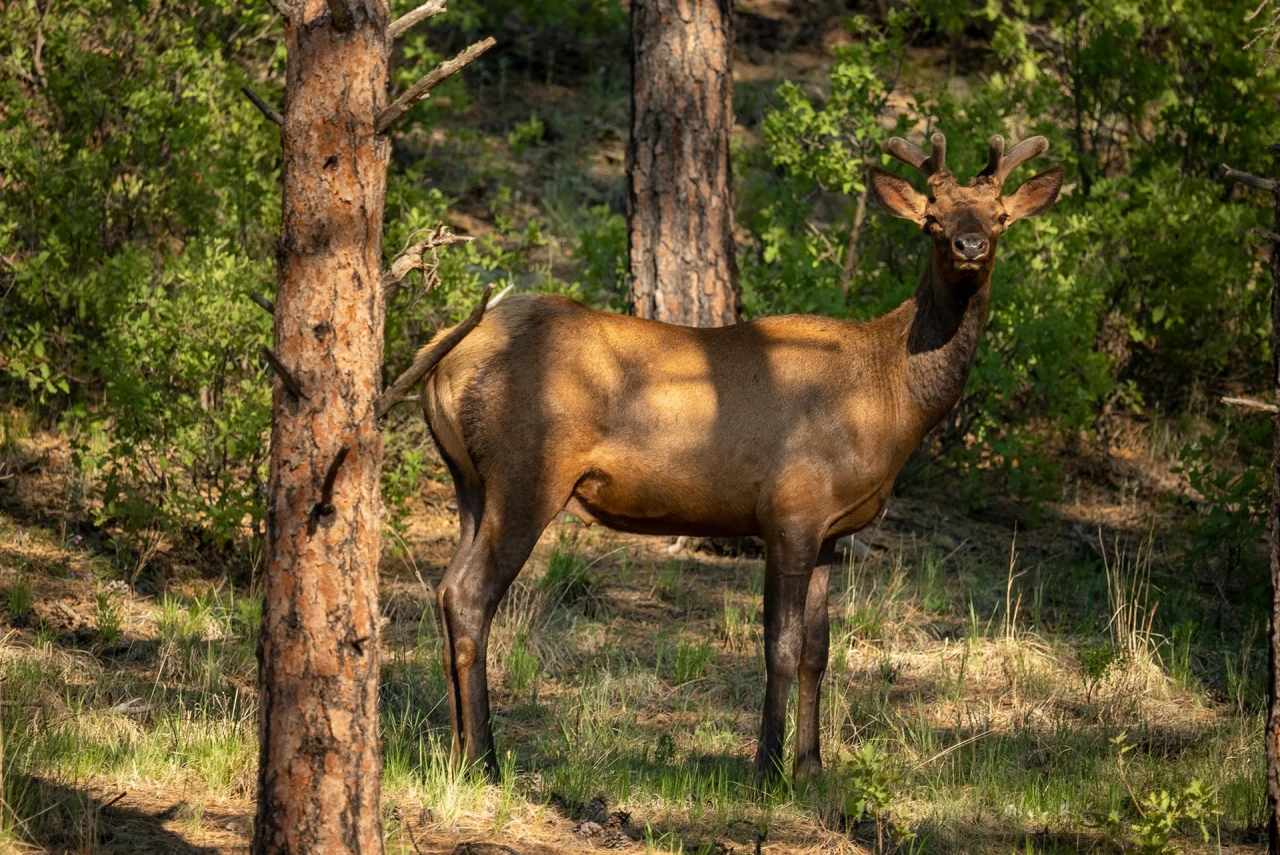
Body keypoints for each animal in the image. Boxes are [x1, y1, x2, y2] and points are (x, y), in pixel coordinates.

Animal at [419, 132, 1064, 784]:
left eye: (999, 216)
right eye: (932, 220)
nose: (970, 246)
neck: (889, 399)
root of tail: (441, 359)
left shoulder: (831, 530)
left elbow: (817, 651)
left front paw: (811, 766)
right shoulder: (790, 511)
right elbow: (780, 646)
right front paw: (766, 768)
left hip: (470, 484)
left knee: (445, 590)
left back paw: (456, 754)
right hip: (528, 474)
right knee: (471, 595)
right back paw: (486, 760)